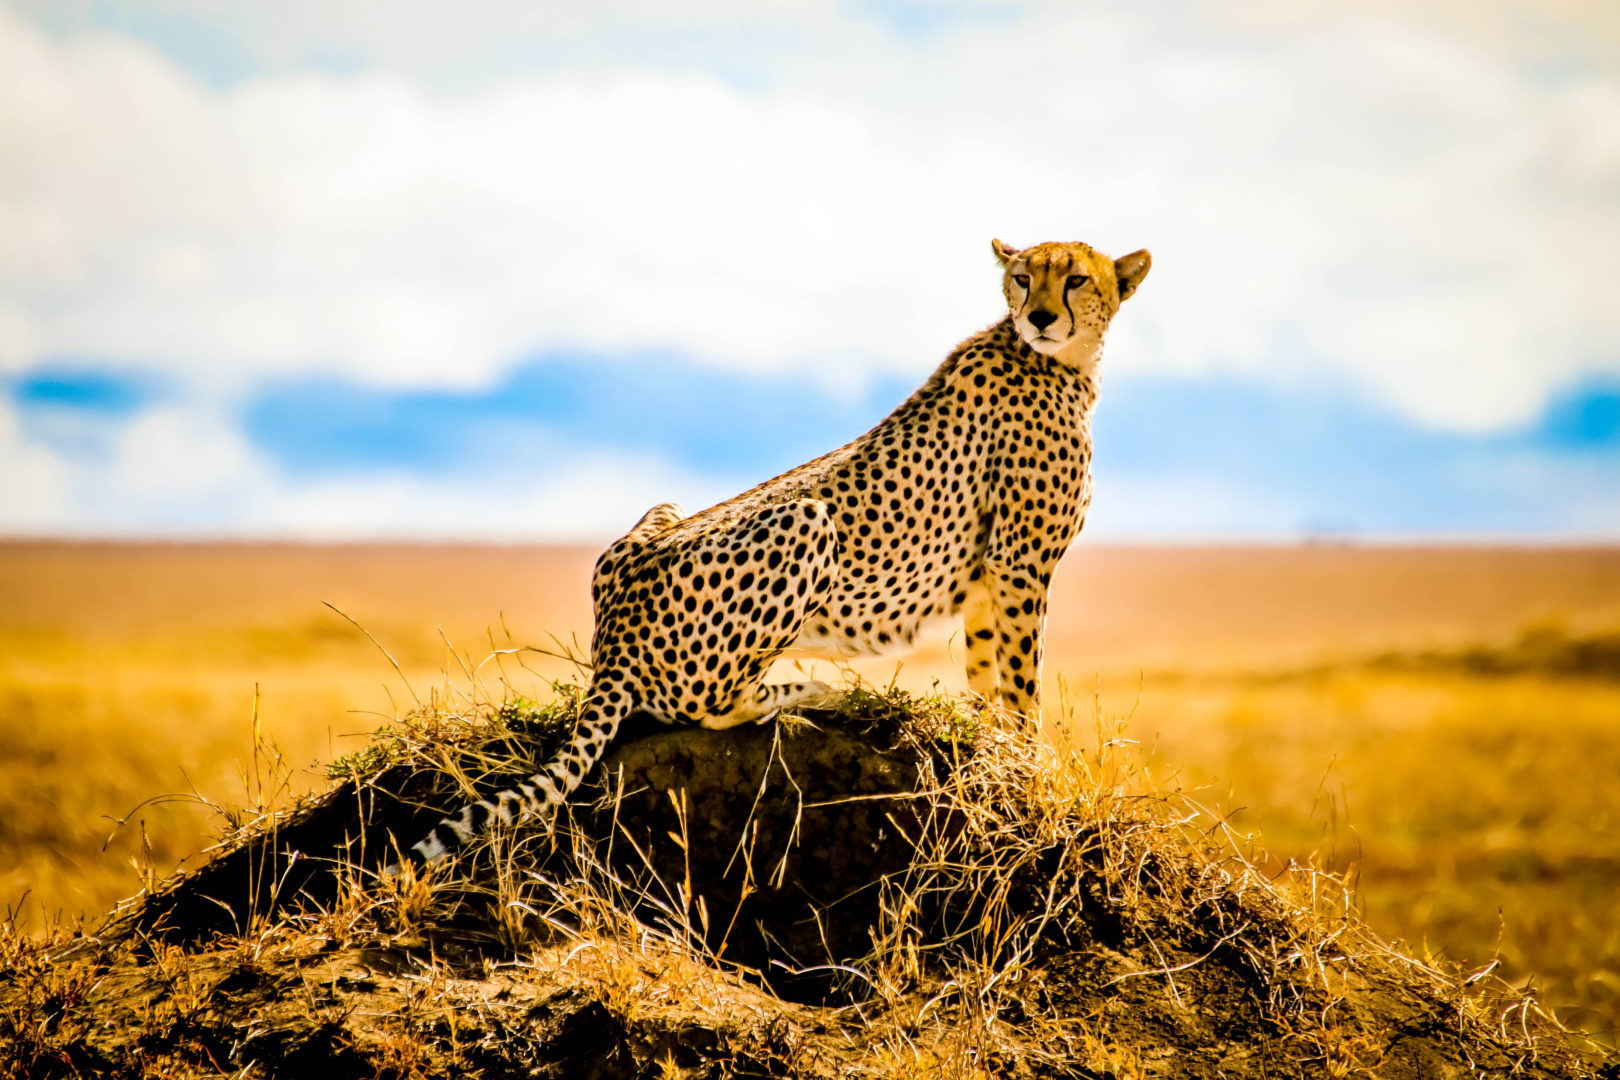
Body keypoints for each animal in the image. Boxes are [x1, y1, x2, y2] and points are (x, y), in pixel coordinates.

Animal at [403, 238, 1153, 867]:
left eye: (1076, 278)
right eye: (1023, 279)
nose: (1042, 316)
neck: (1059, 362)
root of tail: (612, 638)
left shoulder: (987, 580)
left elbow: (987, 680)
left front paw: (993, 754)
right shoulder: (1020, 565)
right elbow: (1022, 685)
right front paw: (1030, 771)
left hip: (659, 515)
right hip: (807, 520)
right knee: (710, 705)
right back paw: (816, 689)